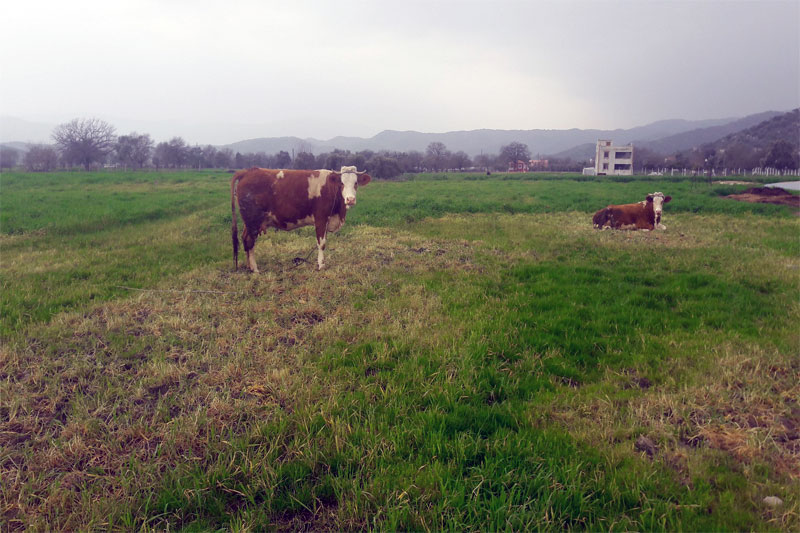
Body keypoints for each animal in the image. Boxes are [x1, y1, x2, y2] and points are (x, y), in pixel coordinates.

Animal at [230, 166, 370, 272]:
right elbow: (322, 243)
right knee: (249, 241)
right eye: (342, 183)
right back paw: (255, 269)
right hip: (253, 220)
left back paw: (249, 266)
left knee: (245, 239)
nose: (350, 199)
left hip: (249, 222)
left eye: (356, 183)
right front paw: (321, 265)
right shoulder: (320, 218)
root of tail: (249, 171)